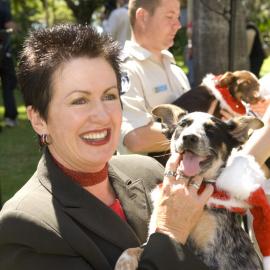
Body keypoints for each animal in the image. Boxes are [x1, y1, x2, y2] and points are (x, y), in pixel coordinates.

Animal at [116, 105, 266, 270]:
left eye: (211, 130)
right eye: (183, 125)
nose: (189, 137)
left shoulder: (216, 255)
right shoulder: (157, 233)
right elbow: (137, 248)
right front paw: (124, 262)